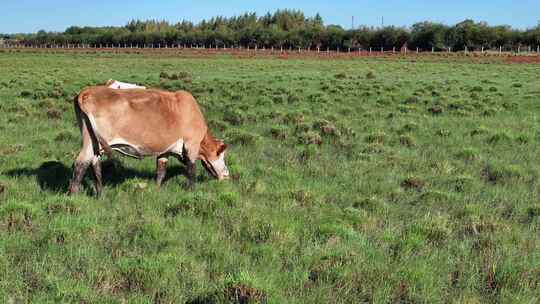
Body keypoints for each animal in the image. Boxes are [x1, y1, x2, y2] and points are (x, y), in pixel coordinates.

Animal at [67, 86, 228, 195]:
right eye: (221, 155)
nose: (227, 175)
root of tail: (87, 92)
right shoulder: (191, 146)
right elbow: (192, 170)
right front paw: (192, 191)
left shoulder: (165, 151)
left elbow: (161, 171)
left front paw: (157, 189)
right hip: (90, 143)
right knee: (81, 163)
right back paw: (74, 194)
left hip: (95, 142)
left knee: (95, 164)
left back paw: (100, 193)